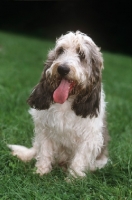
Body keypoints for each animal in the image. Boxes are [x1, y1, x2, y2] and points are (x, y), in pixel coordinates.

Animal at [8, 31, 109, 178]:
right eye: (61, 50)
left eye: (81, 54)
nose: (62, 68)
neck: (66, 102)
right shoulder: (45, 130)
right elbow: (44, 153)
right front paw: (41, 172)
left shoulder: (89, 138)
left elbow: (79, 160)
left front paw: (73, 179)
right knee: (35, 149)